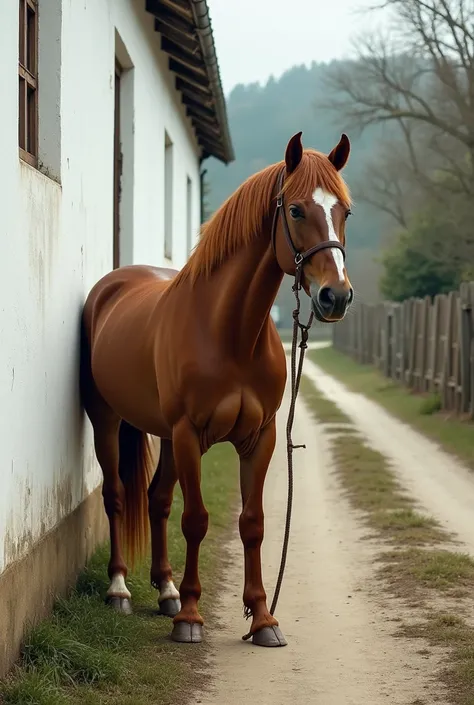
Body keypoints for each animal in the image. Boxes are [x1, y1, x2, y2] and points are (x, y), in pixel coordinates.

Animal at [80, 129, 352, 648]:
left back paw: (165, 589)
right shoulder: (190, 434)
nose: (336, 297)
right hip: (108, 420)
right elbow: (196, 520)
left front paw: (262, 619)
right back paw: (120, 589)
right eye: (295, 210)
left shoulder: (260, 437)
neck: (230, 334)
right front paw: (190, 616)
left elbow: (253, 523)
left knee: (157, 499)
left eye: (345, 210)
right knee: (117, 495)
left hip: (164, 434)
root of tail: (111, 286)